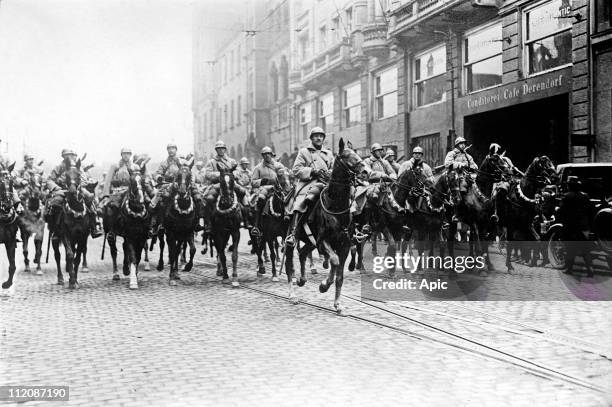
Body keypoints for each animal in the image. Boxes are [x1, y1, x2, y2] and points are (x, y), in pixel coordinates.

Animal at [50, 159, 89, 290]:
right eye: (66, 176)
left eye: (78, 175)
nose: (72, 192)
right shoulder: (66, 235)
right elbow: (70, 255)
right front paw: (71, 280)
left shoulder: (82, 237)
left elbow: (77, 258)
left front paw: (75, 280)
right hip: (56, 239)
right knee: (57, 256)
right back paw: (61, 278)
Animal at [284, 138, 366, 316]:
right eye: (346, 156)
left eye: (356, 152)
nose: (366, 171)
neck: (336, 207)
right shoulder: (323, 242)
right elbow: (334, 261)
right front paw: (323, 285)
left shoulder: (344, 246)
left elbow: (339, 276)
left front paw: (338, 305)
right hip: (290, 240)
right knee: (289, 265)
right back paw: (292, 295)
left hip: (310, 242)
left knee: (302, 253)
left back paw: (302, 279)